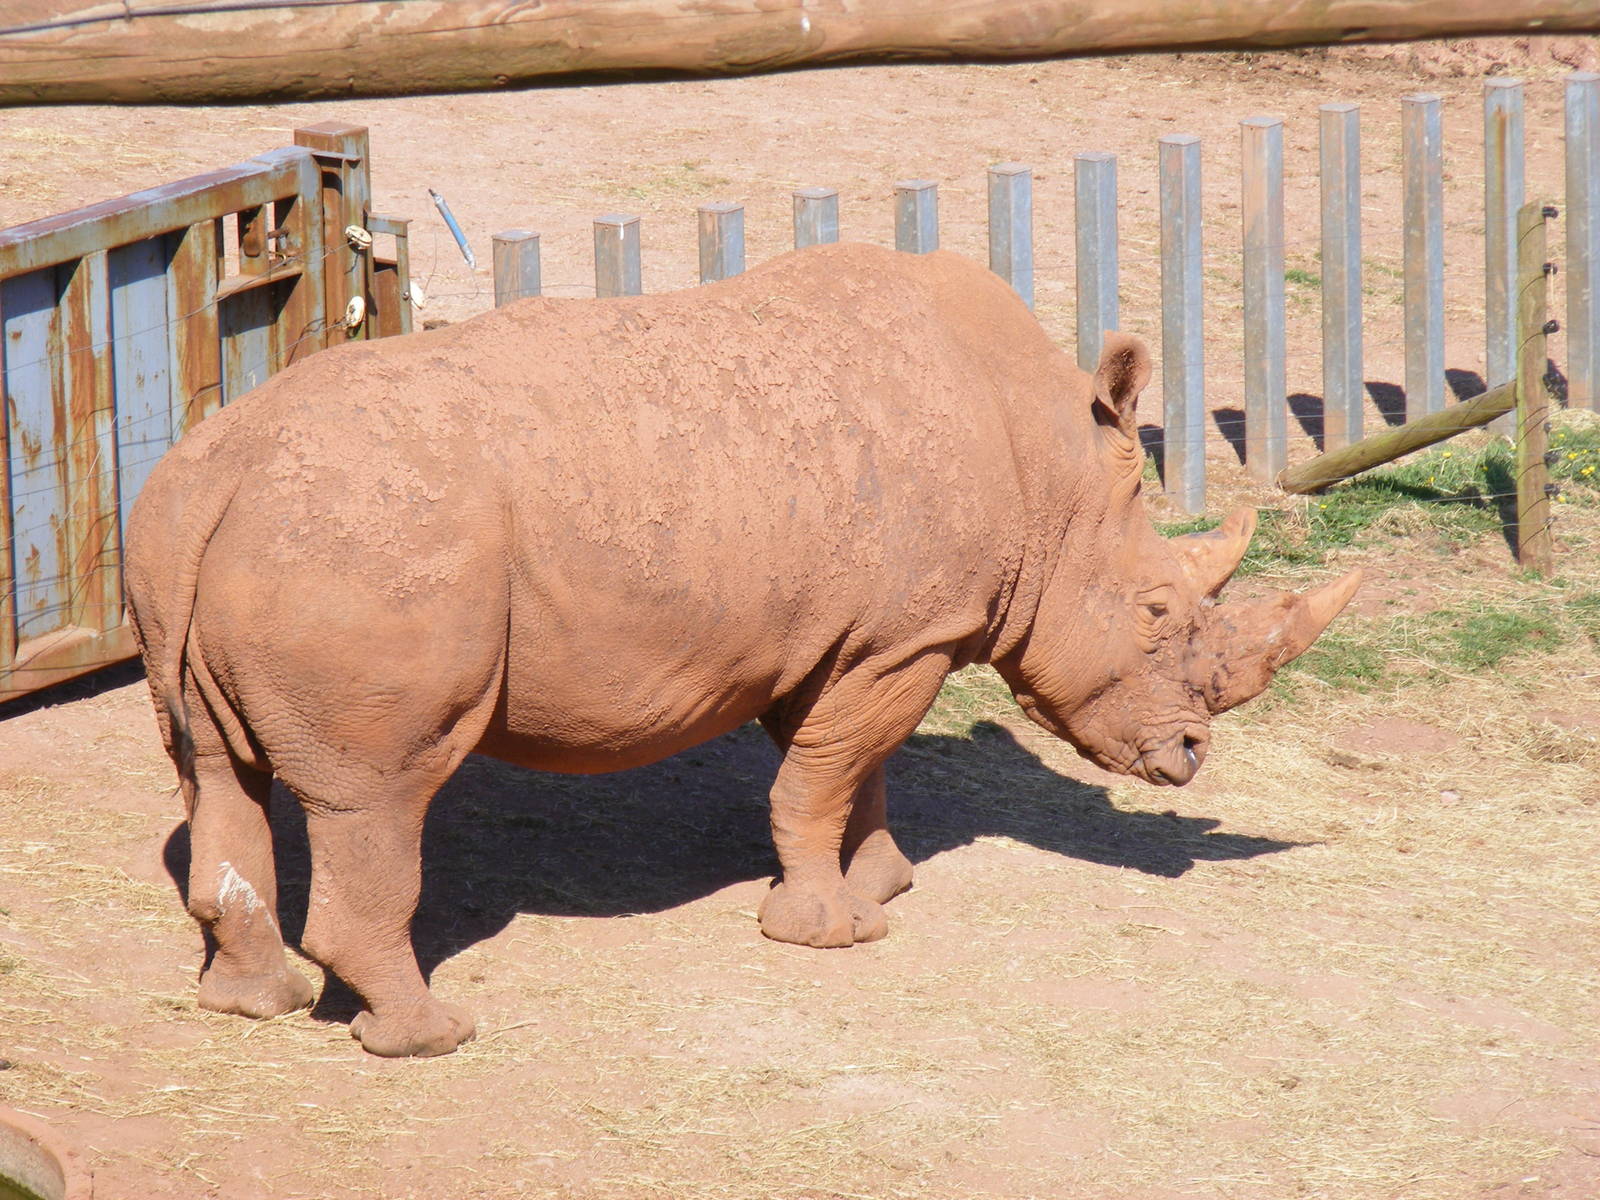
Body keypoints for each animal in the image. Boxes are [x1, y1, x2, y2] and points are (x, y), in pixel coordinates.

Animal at [126, 243, 1359, 1057]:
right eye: (1156, 614)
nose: (1190, 755)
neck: (1052, 473)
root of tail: (224, 474)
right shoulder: (899, 638)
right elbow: (820, 775)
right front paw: (831, 932)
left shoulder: (841, 636)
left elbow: (849, 768)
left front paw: (883, 881)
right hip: (370, 551)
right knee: (378, 795)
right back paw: (431, 1035)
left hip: (194, 527)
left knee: (215, 773)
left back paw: (255, 1005)